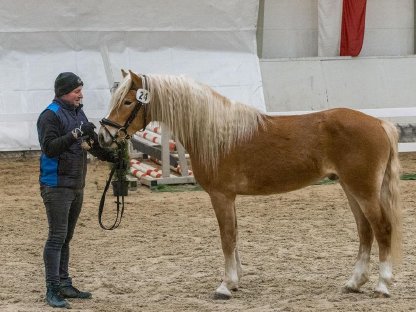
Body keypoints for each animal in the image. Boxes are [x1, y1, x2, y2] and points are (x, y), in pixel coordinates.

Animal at [98, 69, 404, 298]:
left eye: (127, 102)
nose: (103, 135)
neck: (215, 133)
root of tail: (379, 123)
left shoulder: (220, 195)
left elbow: (226, 237)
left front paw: (225, 286)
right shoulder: (229, 197)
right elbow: (234, 235)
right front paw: (235, 281)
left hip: (363, 190)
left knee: (382, 228)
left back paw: (382, 285)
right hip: (350, 189)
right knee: (365, 231)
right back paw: (354, 282)